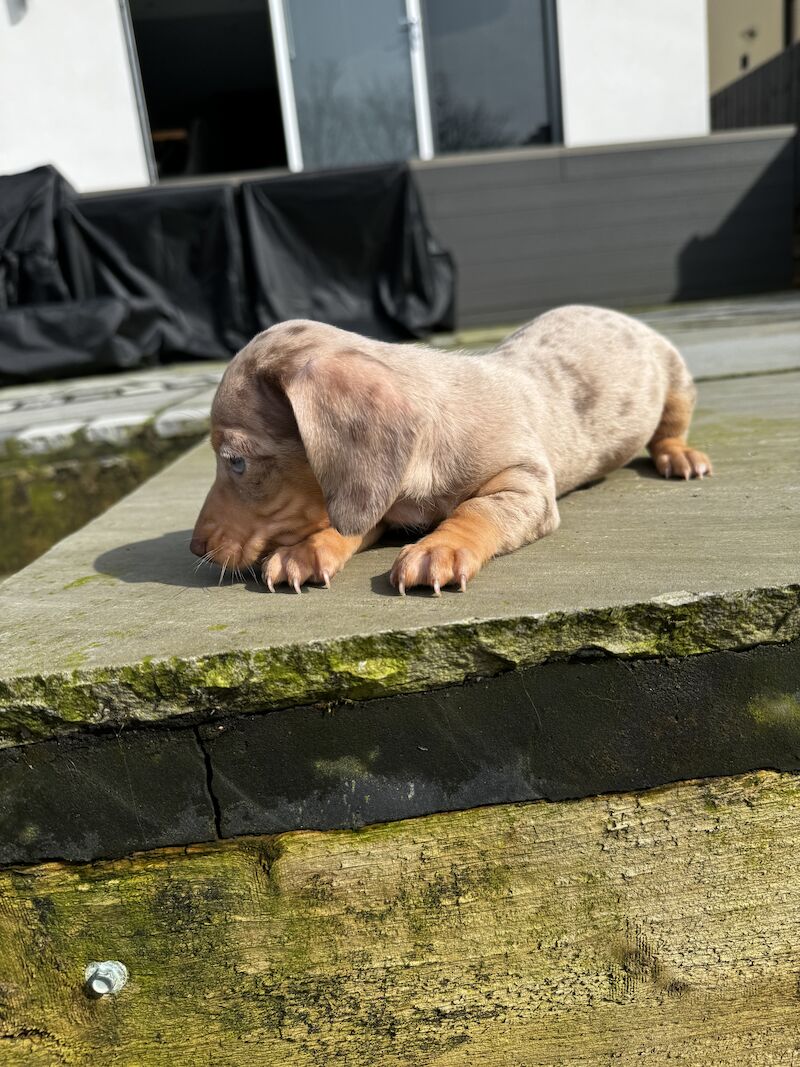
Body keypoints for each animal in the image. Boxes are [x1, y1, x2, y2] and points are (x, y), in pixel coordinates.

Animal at [193, 305, 712, 597]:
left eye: (236, 461)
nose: (196, 547)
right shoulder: (378, 505)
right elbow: (345, 526)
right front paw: (306, 550)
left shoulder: (524, 485)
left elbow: (475, 511)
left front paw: (439, 548)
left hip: (676, 380)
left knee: (670, 430)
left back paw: (680, 456)